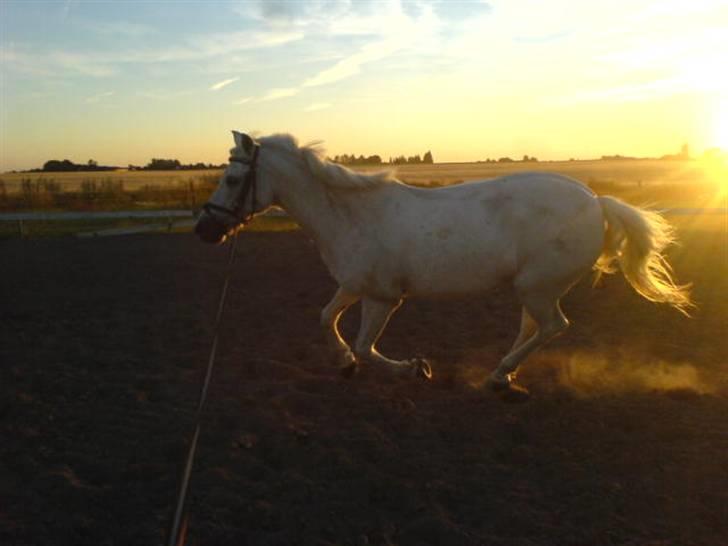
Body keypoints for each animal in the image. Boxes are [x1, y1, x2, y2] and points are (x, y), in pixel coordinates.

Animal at [195, 130, 692, 398]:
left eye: (233, 178)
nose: (205, 229)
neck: (351, 214)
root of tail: (594, 201)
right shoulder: (354, 285)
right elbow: (325, 319)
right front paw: (344, 364)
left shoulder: (382, 298)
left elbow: (365, 346)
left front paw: (415, 368)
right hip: (533, 288)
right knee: (534, 328)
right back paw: (503, 375)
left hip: (538, 287)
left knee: (553, 327)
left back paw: (498, 376)